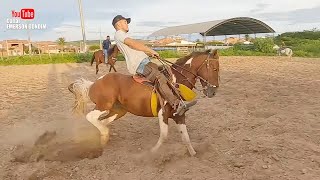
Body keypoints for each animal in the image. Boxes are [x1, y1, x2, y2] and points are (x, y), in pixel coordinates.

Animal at [68, 46, 220, 156]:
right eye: (214, 68)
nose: (213, 92)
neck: (175, 82)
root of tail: (94, 83)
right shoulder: (163, 114)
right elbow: (164, 136)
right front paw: (152, 152)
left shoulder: (179, 115)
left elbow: (186, 137)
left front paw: (193, 153)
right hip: (103, 105)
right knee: (91, 117)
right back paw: (104, 134)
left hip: (118, 110)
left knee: (102, 121)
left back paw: (103, 137)